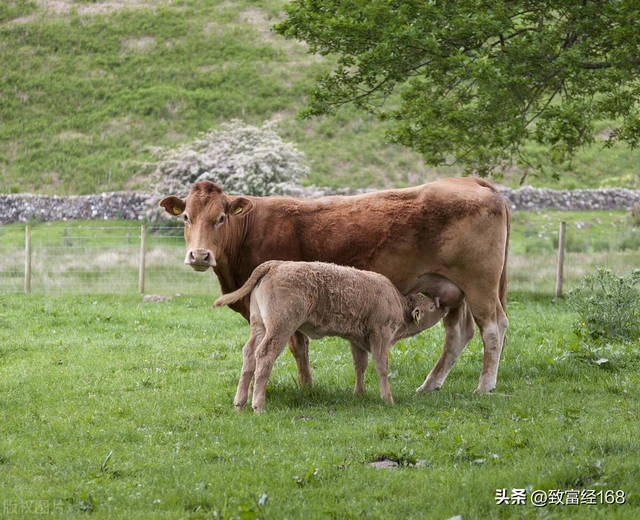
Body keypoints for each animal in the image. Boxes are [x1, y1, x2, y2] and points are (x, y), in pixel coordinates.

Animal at [160, 177, 510, 392]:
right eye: (186, 217)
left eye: (221, 218)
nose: (200, 255)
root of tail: (469, 180)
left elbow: (296, 346)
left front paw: (305, 386)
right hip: (451, 289)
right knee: (458, 333)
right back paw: (429, 385)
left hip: (480, 285)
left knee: (493, 328)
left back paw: (484, 386)